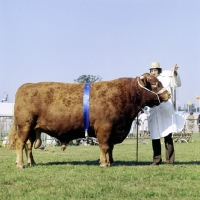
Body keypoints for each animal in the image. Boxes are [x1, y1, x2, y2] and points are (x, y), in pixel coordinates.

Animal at [8, 72, 170, 168]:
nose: (168, 94)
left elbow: (110, 148)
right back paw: (21, 164)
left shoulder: (113, 129)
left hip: (32, 129)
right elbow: (104, 146)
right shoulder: (104, 128)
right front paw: (104, 163)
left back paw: (32, 163)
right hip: (24, 126)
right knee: (20, 144)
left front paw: (110, 161)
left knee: (28, 146)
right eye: (155, 84)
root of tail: (26, 85)